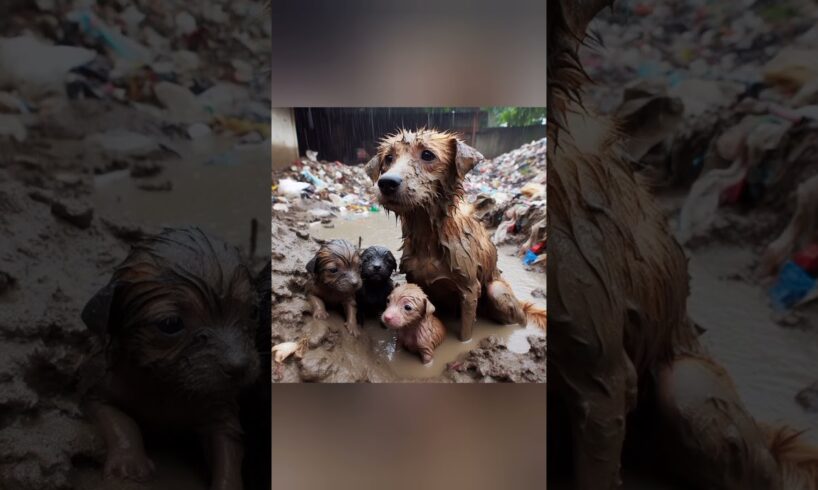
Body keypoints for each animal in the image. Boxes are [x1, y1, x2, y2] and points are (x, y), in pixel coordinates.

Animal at [79, 227, 258, 490]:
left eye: (252, 312)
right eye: (170, 324)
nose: (239, 366)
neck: (168, 385)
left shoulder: (219, 404)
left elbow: (227, 447)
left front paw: (228, 484)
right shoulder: (98, 389)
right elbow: (120, 420)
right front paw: (129, 463)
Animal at [364, 128, 544, 340]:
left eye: (428, 154)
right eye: (388, 158)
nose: (386, 183)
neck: (428, 235)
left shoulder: (469, 290)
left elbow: (465, 334)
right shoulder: (413, 279)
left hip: (497, 290)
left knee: (519, 318)